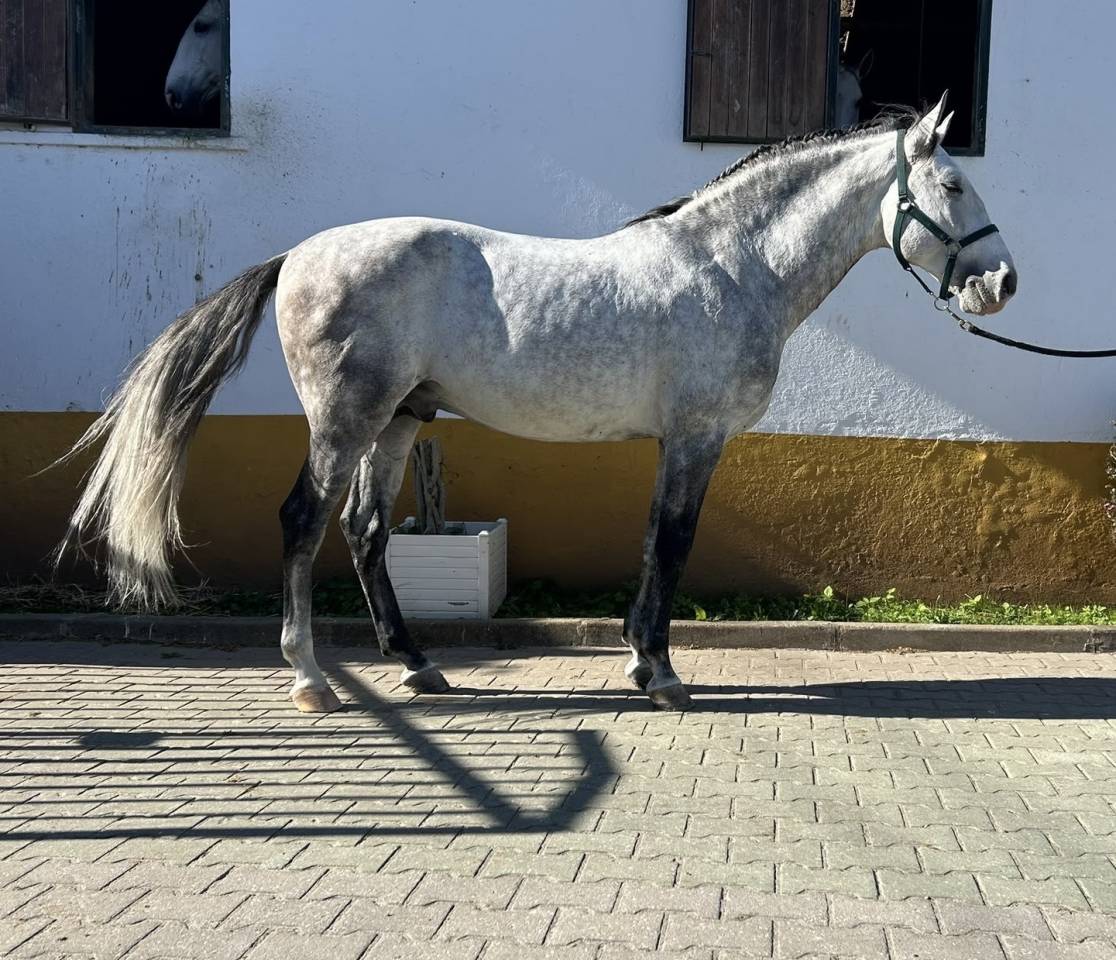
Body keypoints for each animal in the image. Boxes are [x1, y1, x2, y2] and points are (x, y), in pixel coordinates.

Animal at [58, 94, 1017, 713]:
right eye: (955, 186)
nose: (1002, 282)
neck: (731, 266)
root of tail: (297, 254)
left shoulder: (673, 441)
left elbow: (651, 542)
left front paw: (638, 662)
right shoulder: (697, 438)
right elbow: (674, 543)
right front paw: (664, 675)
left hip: (398, 422)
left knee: (364, 532)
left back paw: (416, 666)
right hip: (346, 420)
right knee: (303, 520)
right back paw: (311, 680)